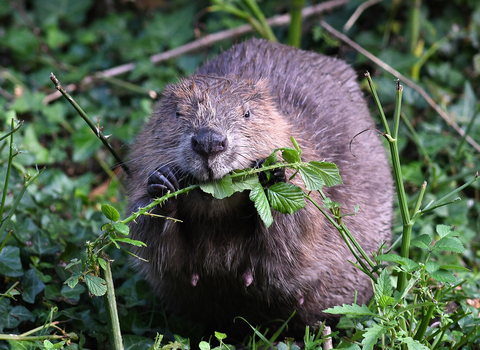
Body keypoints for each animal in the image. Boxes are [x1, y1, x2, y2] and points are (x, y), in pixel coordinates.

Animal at [125, 38, 392, 340]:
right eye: (177, 112)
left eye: (247, 113)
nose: (209, 142)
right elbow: (156, 250)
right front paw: (162, 184)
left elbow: (295, 240)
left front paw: (271, 173)